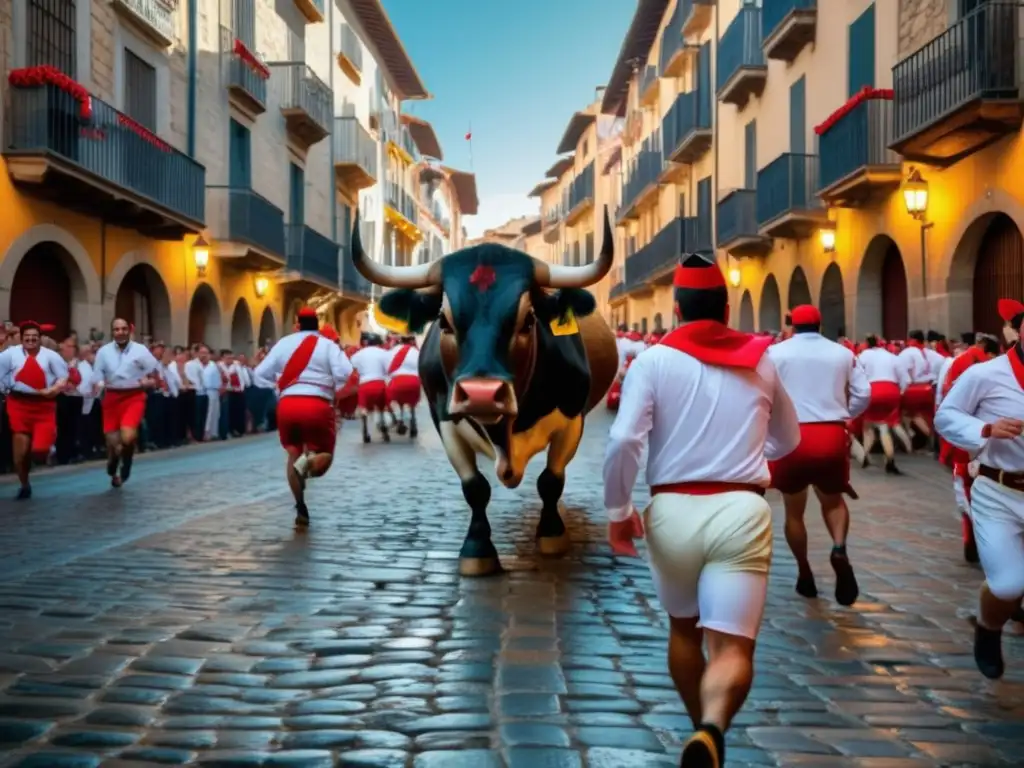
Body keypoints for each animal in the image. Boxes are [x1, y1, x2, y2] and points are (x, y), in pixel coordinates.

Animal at [348, 210, 618, 577]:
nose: (481, 393)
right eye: (443, 321)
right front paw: (478, 550)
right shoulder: (445, 422)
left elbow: (550, 480)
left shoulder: (572, 420)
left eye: (528, 319)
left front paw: (552, 534)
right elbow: (475, 488)